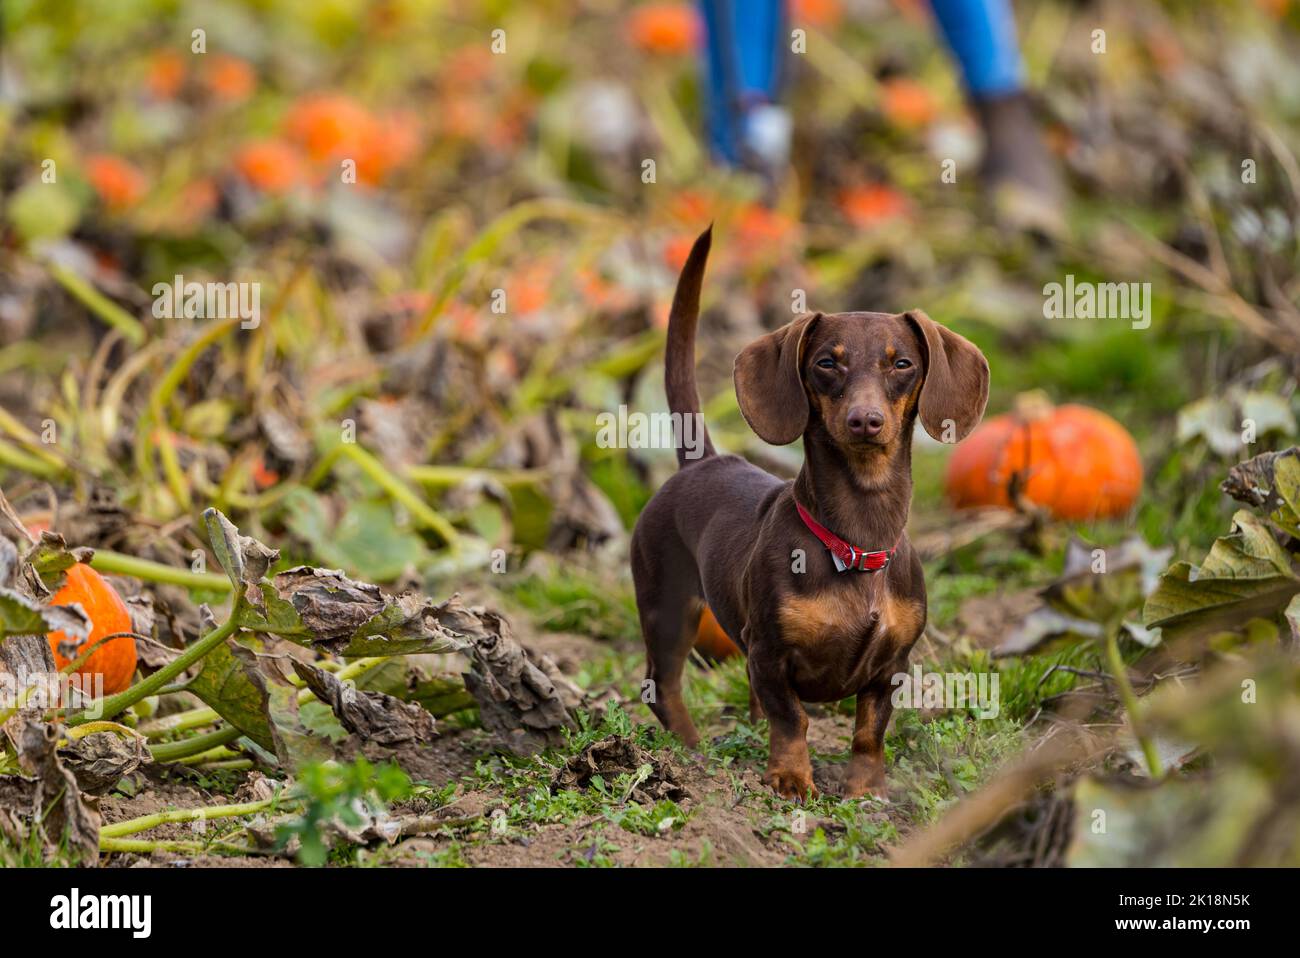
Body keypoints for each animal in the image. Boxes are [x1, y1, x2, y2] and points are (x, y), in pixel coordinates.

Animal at [629, 226, 982, 800]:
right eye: (826, 362)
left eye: (902, 363)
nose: (865, 420)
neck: (855, 541)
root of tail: (704, 461)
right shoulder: (769, 652)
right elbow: (793, 719)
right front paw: (791, 777)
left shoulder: (892, 666)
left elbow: (869, 732)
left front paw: (866, 789)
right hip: (667, 606)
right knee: (663, 687)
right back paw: (694, 753)